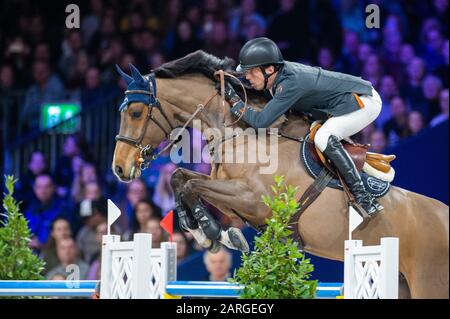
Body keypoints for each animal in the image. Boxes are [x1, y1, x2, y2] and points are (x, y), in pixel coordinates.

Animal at [110, 50, 448, 300]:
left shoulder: (252, 200)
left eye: (136, 113)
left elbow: (191, 183)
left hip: (428, 282)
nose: (119, 168)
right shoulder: (230, 192)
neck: (241, 134)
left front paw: (212, 231)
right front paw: (205, 231)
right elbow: (180, 178)